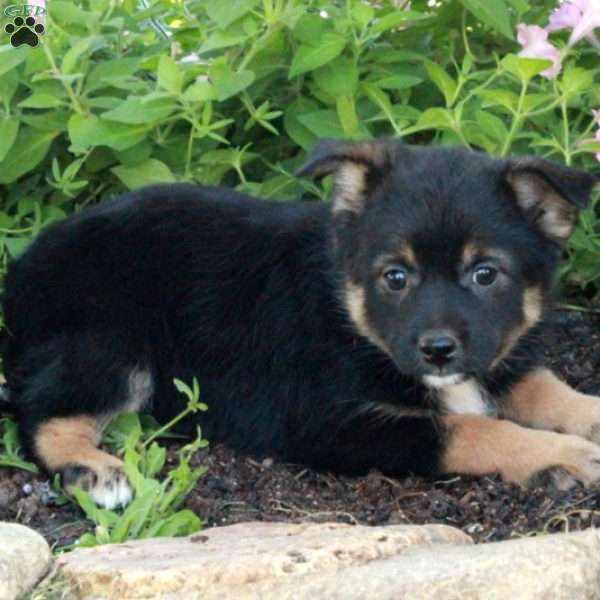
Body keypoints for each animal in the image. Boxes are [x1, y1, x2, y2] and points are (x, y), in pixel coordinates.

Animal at [1, 139, 600, 506]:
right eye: (395, 276)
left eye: (485, 274)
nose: (436, 350)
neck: (353, 319)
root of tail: (24, 268)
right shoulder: (331, 421)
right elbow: (468, 428)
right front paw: (560, 454)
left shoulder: (497, 356)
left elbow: (545, 388)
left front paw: (584, 419)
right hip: (110, 338)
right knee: (40, 413)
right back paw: (92, 468)